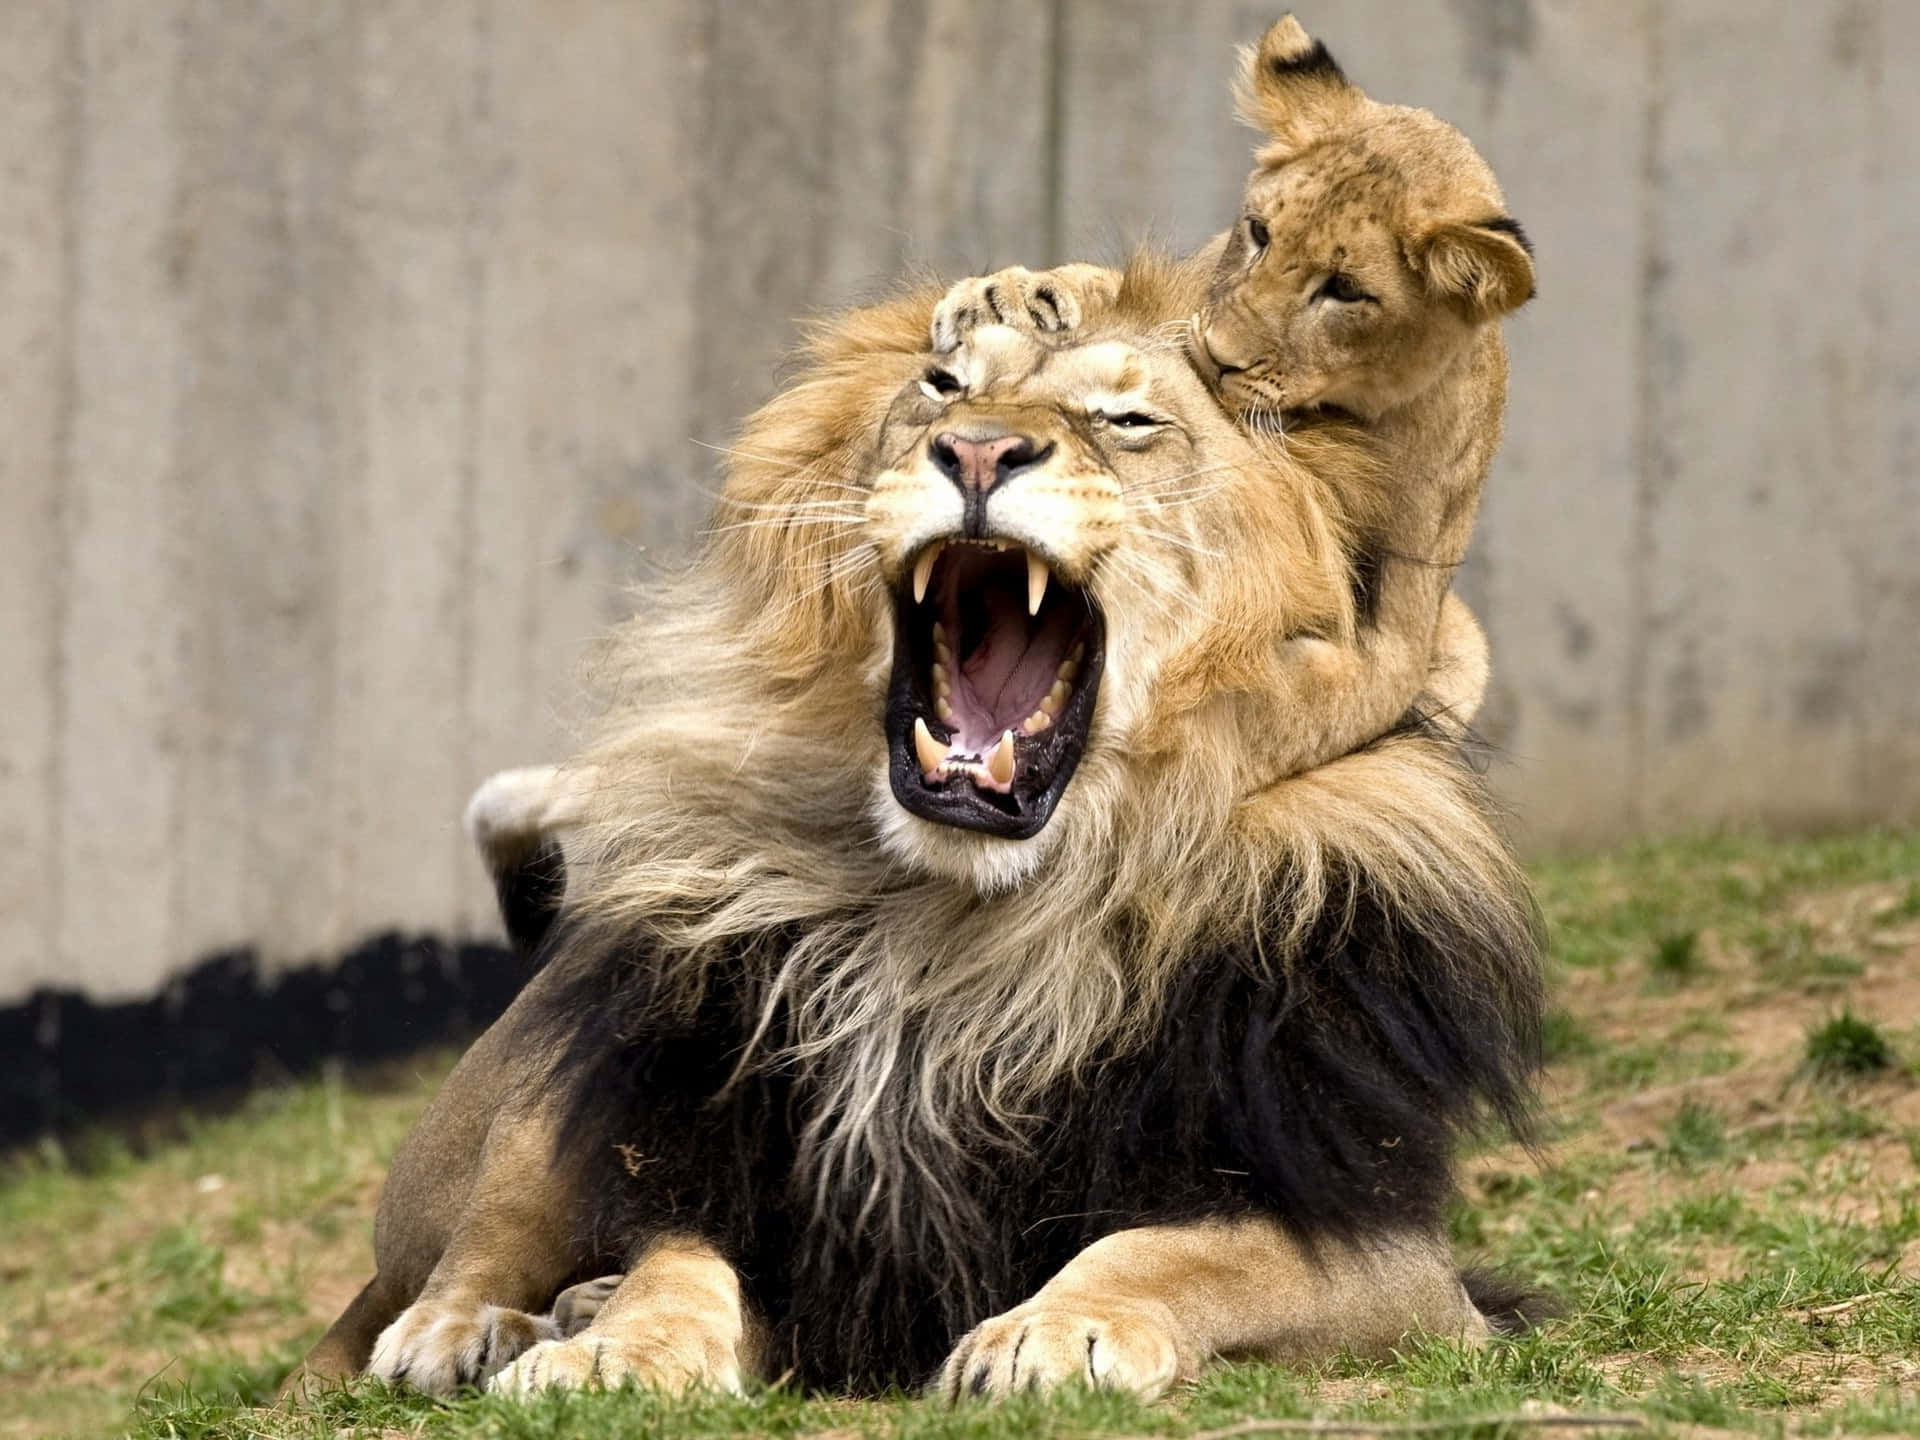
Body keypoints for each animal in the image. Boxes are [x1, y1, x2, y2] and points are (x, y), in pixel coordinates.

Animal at [289, 266, 1543, 1402]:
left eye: (1129, 421)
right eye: (943, 389)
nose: (978, 453)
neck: (965, 932)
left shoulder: (1395, 1263)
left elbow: (1178, 1251)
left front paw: (1055, 1331)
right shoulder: (760, 1192)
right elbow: (673, 1263)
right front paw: (613, 1347)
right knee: (461, 1253)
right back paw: (470, 1328)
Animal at [932, 12, 1534, 787]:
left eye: (1345, 290)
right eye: (1259, 232)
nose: (1215, 355)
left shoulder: (1404, 622)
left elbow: (1311, 702)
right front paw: (1009, 294)